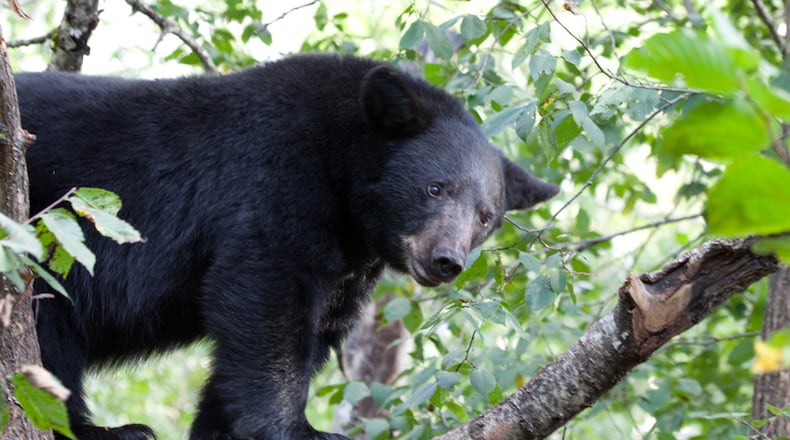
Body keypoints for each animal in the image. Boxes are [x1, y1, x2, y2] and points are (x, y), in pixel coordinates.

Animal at [15, 54, 558, 440]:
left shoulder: (349, 262)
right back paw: (106, 431)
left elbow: (316, 324)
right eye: (436, 188)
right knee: (49, 333)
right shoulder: (276, 179)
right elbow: (266, 297)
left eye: (486, 216)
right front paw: (297, 430)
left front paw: (217, 430)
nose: (446, 260)